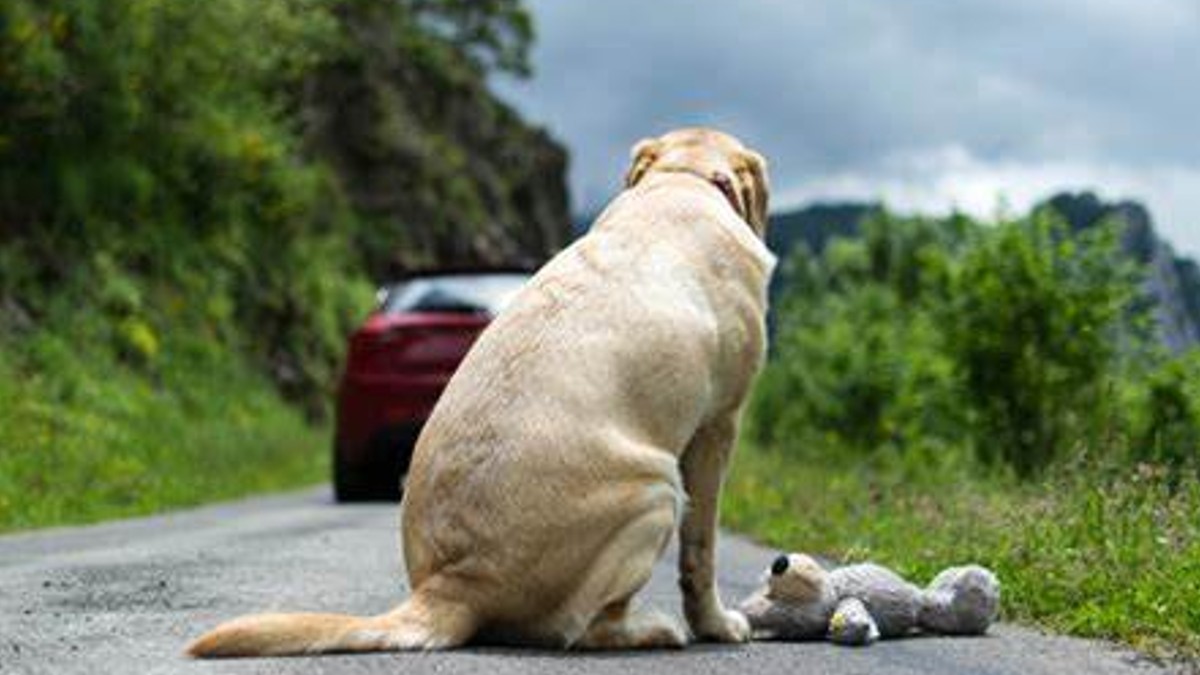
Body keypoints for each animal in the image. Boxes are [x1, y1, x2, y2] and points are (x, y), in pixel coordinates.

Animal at [183, 126, 772, 653]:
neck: (682, 179)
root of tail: (454, 585)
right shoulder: (719, 425)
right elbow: (702, 549)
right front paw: (717, 624)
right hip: (656, 488)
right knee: (580, 628)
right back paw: (654, 629)